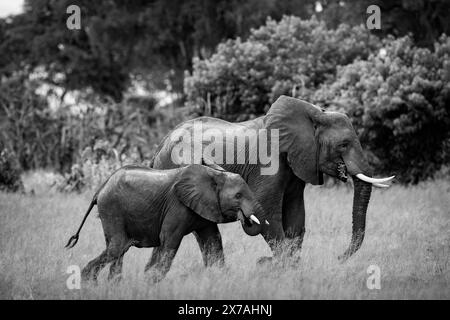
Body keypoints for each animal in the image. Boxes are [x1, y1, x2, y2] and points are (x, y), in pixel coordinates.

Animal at [64, 164, 268, 282]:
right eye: (238, 196)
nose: (246, 217)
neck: (215, 174)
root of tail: (100, 189)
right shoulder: (178, 206)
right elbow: (169, 240)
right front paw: (150, 281)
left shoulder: (204, 208)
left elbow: (213, 241)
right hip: (111, 207)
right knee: (117, 247)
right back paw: (88, 283)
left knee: (117, 248)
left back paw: (112, 285)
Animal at [149, 95, 392, 264]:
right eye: (343, 144)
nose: (339, 257)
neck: (312, 114)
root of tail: (159, 146)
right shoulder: (267, 162)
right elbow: (268, 210)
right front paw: (278, 266)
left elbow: (295, 215)